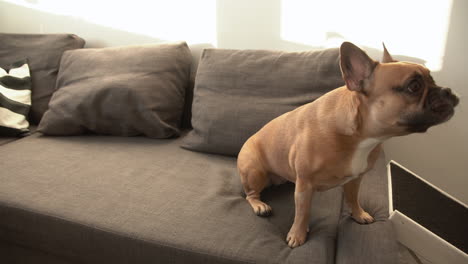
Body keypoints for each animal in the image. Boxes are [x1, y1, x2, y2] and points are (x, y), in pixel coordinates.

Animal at [239, 41, 458, 248]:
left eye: (433, 80)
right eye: (414, 86)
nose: (447, 91)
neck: (361, 137)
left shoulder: (355, 178)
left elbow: (353, 198)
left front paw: (359, 214)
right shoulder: (305, 184)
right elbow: (302, 213)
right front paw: (297, 234)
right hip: (255, 172)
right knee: (250, 194)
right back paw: (260, 205)